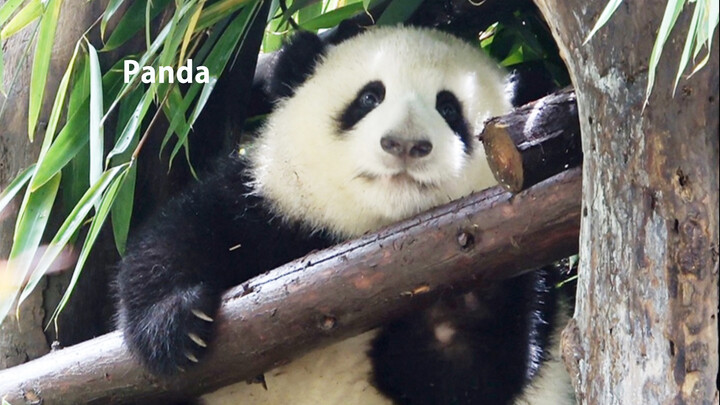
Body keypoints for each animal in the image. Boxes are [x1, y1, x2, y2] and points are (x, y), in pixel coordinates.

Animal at [114, 26, 572, 404]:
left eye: (449, 109)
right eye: (369, 97)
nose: (405, 144)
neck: (373, 228)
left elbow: (461, 375)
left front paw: (464, 284)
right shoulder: (270, 206)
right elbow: (181, 235)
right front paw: (177, 323)